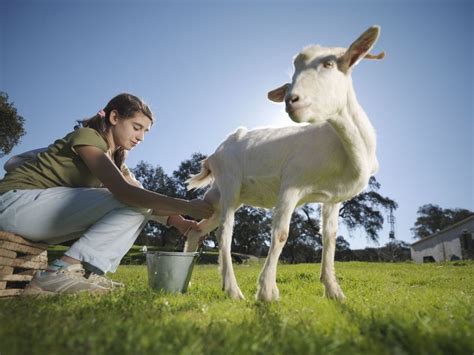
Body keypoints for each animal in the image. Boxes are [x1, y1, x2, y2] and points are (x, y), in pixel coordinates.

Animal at [183, 26, 384, 302]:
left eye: (329, 63)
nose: (292, 99)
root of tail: (214, 154)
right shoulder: (291, 184)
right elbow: (281, 234)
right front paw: (267, 291)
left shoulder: (333, 199)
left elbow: (330, 239)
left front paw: (334, 291)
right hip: (230, 183)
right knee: (224, 233)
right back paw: (233, 290)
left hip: (220, 196)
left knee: (197, 229)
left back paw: (186, 282)